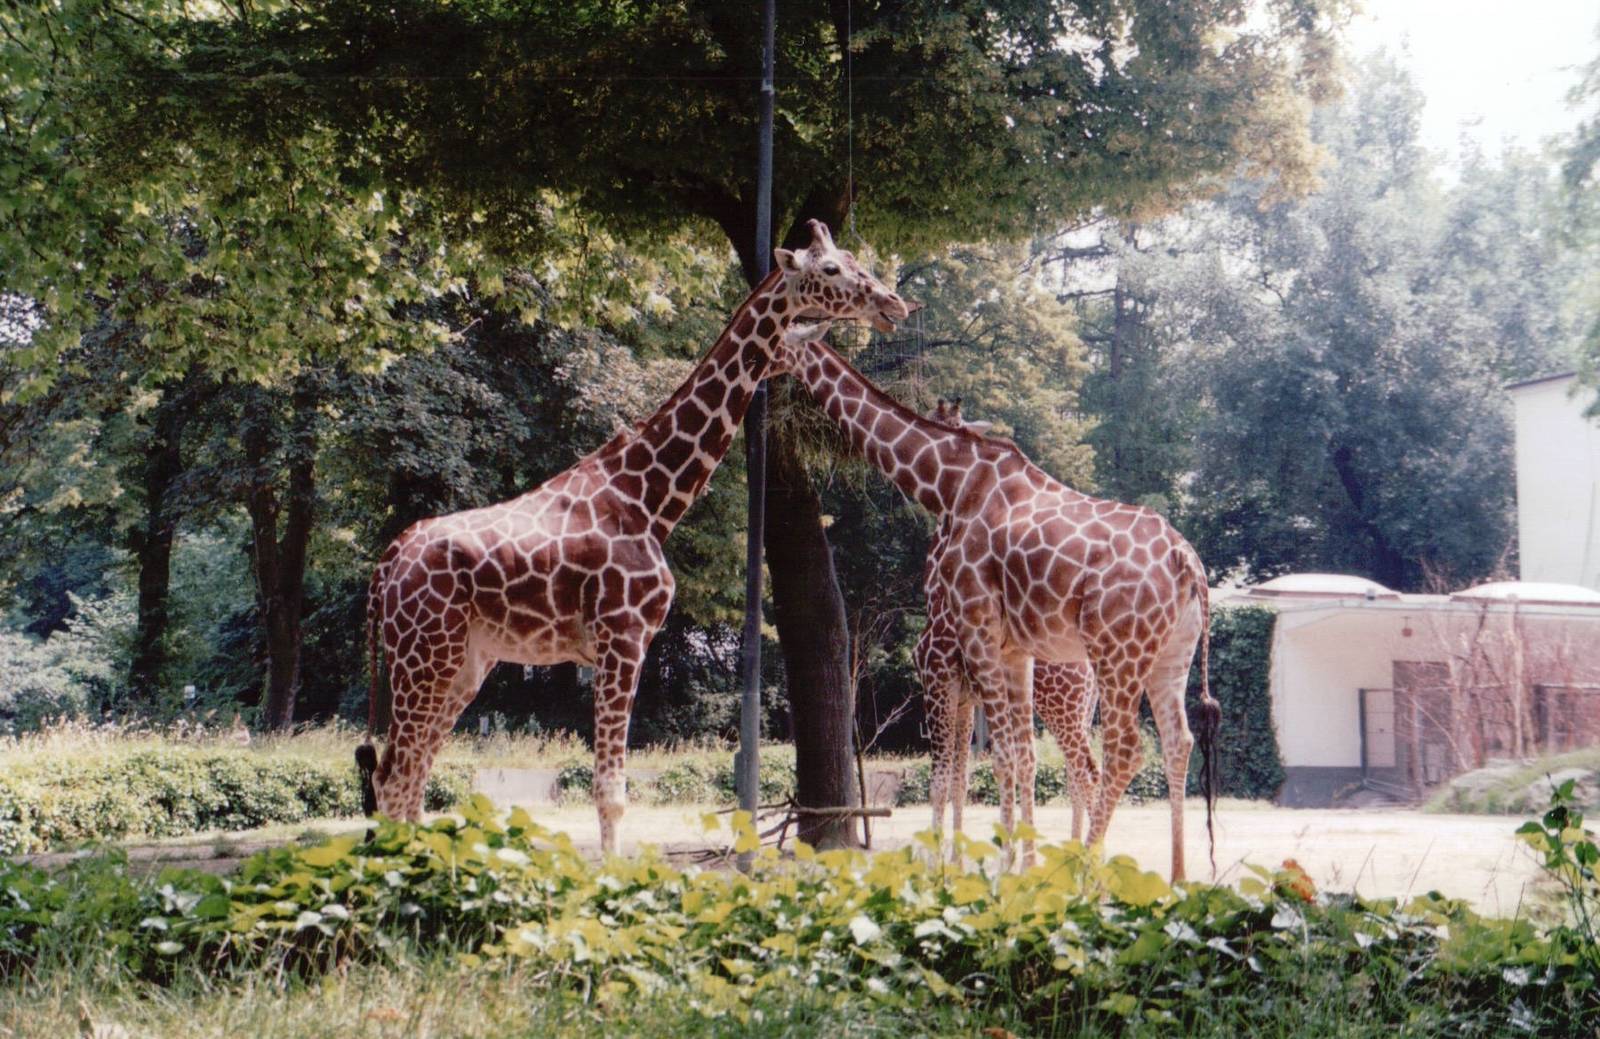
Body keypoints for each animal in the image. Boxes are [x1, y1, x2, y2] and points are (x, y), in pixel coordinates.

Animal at [354, 221, 912, 856]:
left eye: (854, 259)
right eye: (831, 270)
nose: (893, 304)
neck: (649, 501)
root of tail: (386, 566)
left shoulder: (616, 644)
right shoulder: (623, 638)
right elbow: (611, 793)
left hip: (462, 662)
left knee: (407, 772)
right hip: (424, 655)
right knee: (396, 774)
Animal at [768, 329, 1221, 879]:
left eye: (781, 340)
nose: (766, 379)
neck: (955, 485)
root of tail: (1187, 561)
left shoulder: (955, 660)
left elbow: (961, 769)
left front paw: (963, 866)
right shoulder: (1006, 657)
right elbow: (1005, 761)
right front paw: (999, 863)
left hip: (1115, 654)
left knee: (1118, 755)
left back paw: (1084, 872)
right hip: (1168, 656)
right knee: (1175, 743)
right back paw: (1174, 878)